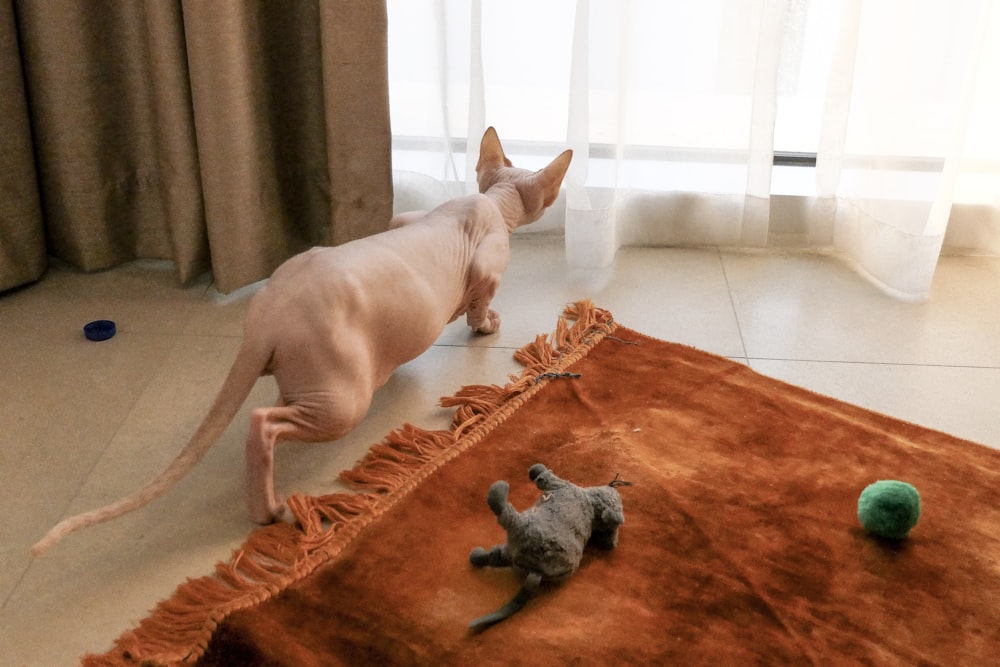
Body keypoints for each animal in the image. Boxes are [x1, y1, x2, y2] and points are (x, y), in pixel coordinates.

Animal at [35, 128, 572, 556]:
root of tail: (267, 317)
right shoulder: (487, 265)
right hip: (343, 399)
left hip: (309, 376)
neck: (492, 201)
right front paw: (486, 323)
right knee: (264, 422)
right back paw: (268, 508)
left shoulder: (406, 219)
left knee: (276, 407)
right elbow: (481, 298)